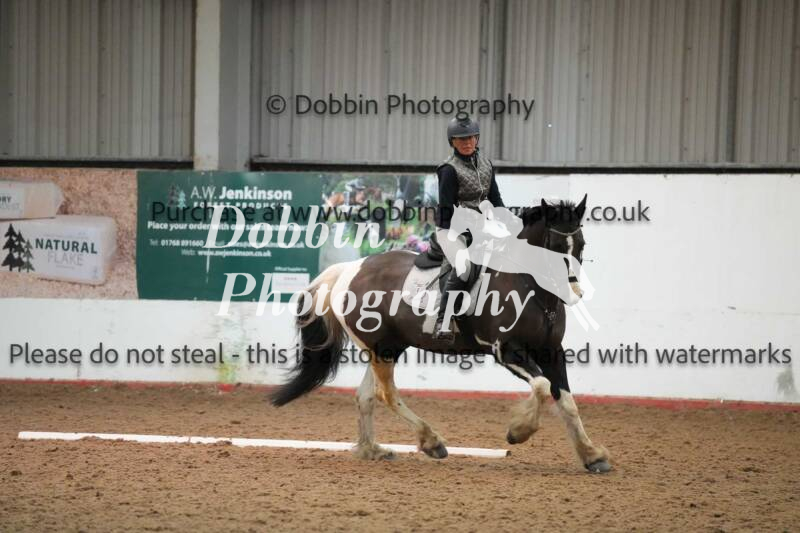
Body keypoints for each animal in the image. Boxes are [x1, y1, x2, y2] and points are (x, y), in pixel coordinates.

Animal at [270, 196, 611, 473]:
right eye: (553, 247)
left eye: (581, 245)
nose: (574, 293)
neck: (528, 286)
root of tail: (349, 269)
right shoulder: (506, 350)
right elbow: (541, 387)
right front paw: (518, 431)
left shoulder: (551, 350)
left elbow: (566, 401)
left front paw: (592, 455)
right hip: (382, 349)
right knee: (386, 394)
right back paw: (431, 442)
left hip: (384, 347)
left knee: (366, 395)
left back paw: (372, 450)